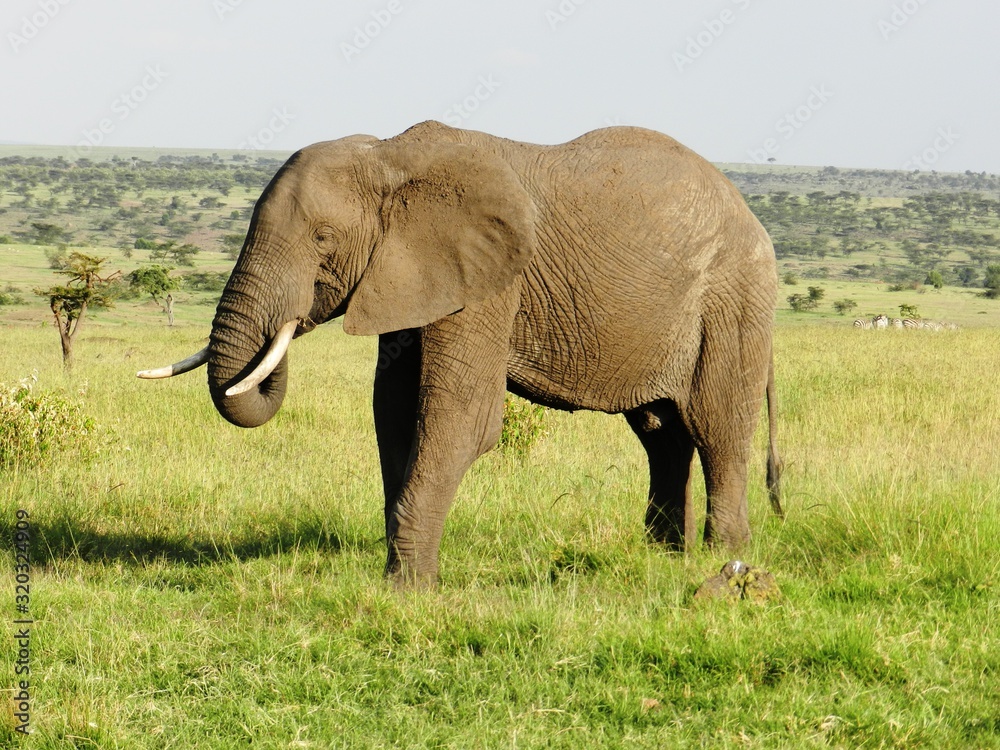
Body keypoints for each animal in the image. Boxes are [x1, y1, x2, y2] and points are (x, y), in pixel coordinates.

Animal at [139, 120, 782, 587]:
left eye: (323, 239)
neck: (392, 157)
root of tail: (749, 210)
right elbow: (394, 413)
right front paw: (402, 575)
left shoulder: (491, 278)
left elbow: (461, 418)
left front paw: (409, 589)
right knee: (661, 433)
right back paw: (664, 556)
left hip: (733, 300)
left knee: (717, 428)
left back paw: (724, 561)